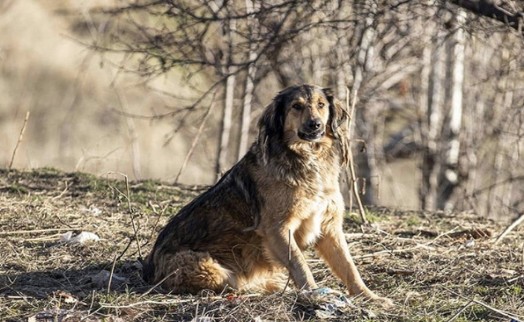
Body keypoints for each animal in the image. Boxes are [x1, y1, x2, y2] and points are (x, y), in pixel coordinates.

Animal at [141, 84, 390, 306]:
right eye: (296, 106)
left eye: (321, 105)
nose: (315, 124)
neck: (307, 157)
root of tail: (149, 269)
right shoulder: (277, 229)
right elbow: (300, 264)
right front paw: (314, 294)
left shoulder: (328, 226)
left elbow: (349, 267)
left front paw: (369, 296)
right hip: (209, 268)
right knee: (234, 284)